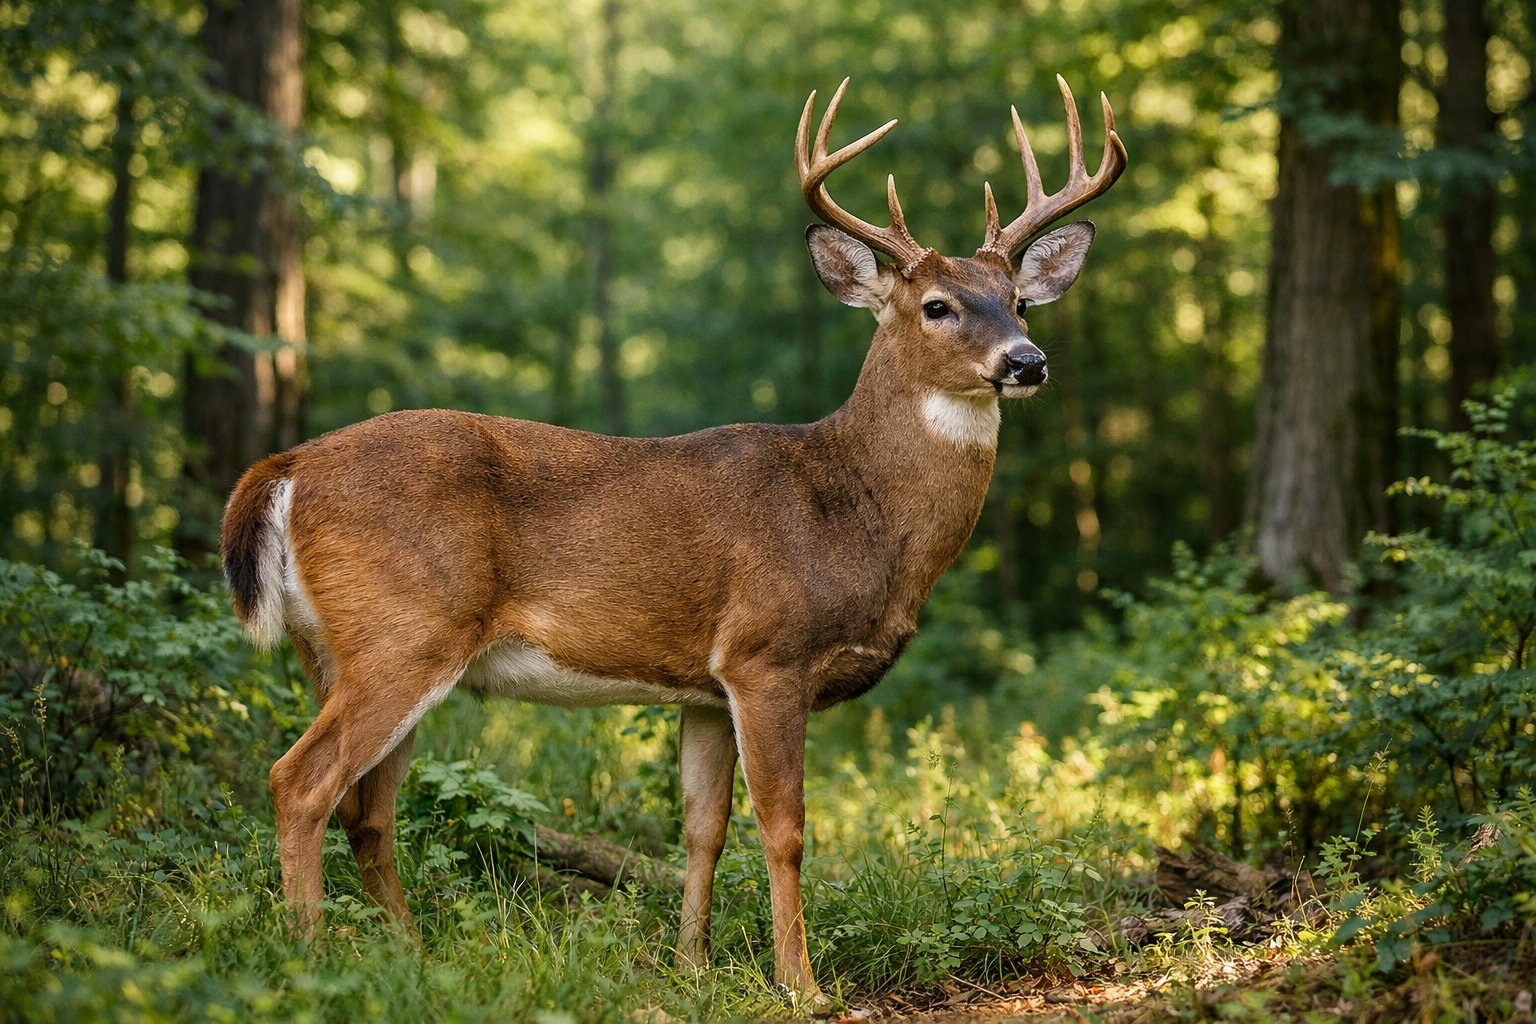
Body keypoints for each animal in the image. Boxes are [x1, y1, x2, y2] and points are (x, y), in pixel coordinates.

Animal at [220, 75, 1125, 1008]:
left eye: (1019, 301)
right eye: (936, 306)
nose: (1026, 361)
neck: (850, 511)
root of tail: (286, 466)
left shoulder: (703, 687)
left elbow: (702, 827)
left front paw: (691, 966)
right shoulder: (767, 652)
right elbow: (785, 828)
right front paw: (801, 985)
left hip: (340, 649)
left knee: (367, 810)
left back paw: (409, 955)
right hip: (404, 633)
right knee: (302, 781)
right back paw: (311, 956)